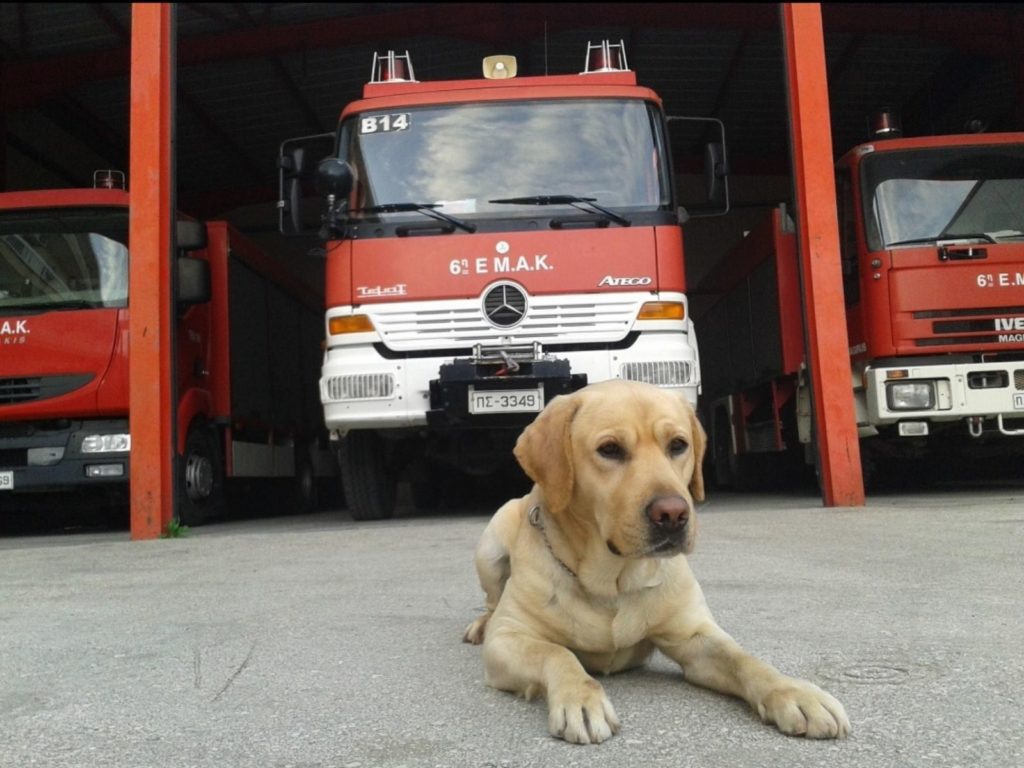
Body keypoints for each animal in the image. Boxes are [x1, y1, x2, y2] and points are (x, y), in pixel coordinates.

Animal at [464, 382, 847, 745]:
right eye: (610, 449)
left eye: (678, 445)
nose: (673, 515)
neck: (614, 583)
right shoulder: (508, 639)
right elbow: (557, 653)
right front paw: (580, 699)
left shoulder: (695, 636)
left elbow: (745, 659)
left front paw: (795, 692)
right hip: (491, 544)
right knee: (492, 602)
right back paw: (480, 624)